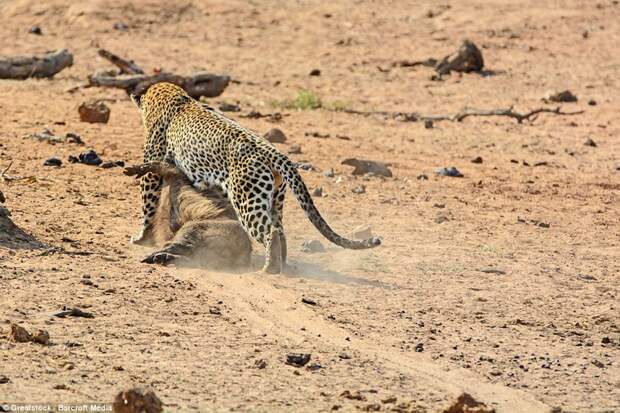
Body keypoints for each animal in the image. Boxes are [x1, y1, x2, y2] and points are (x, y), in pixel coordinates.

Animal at [123, 159, 252, 268]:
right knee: (192, 257)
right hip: (205, 252)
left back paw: (154, 257)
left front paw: (132, 169)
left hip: (193, 229)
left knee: (180, 246)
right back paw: (162, 258)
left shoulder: (173, 173)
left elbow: (161, 165)